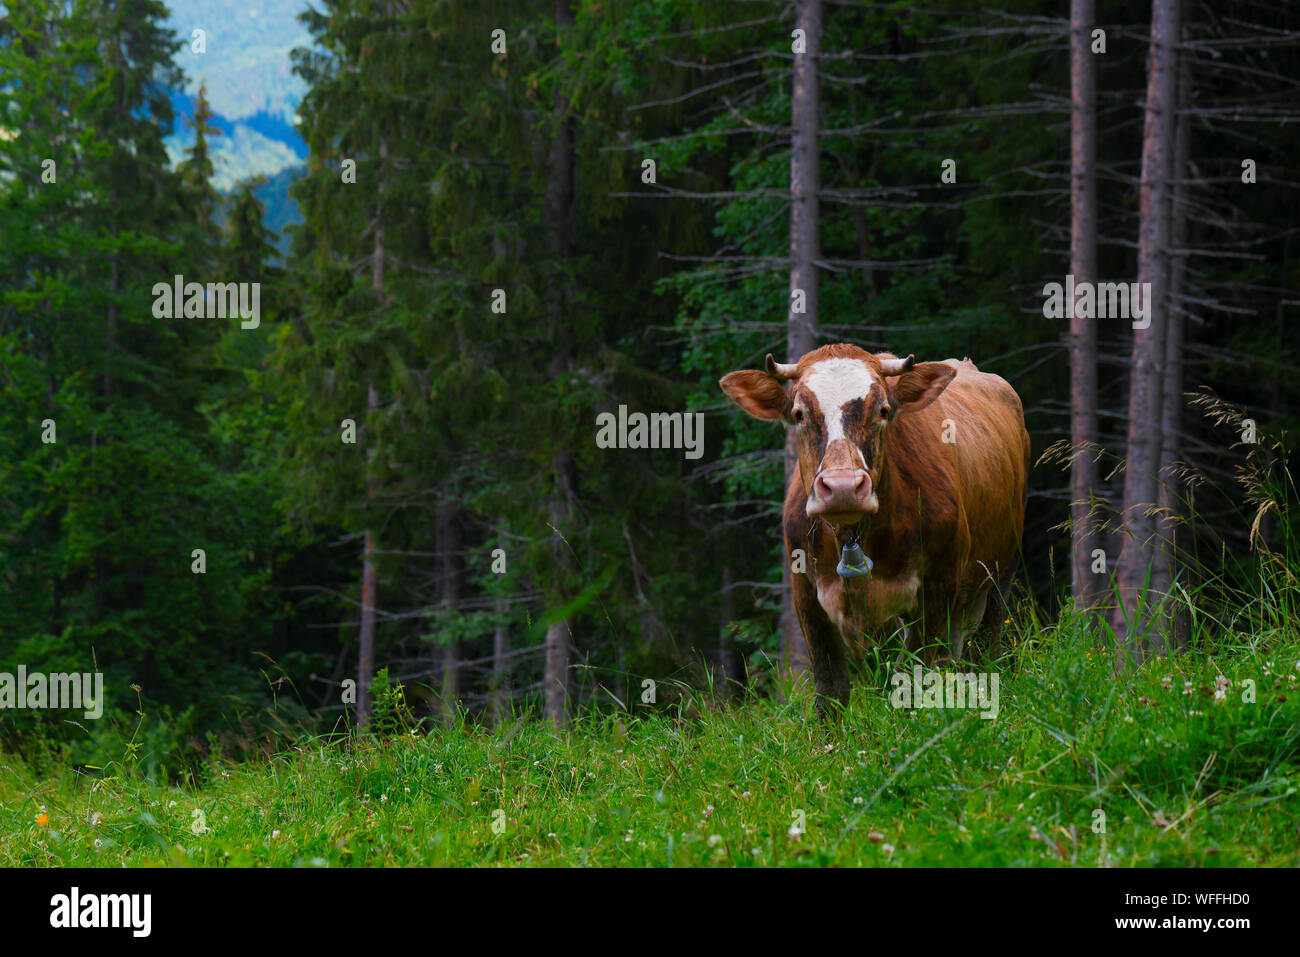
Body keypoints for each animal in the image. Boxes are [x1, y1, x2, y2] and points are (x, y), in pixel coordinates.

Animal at [719, 344, 1029, 719]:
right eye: (798, 414)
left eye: (882, 411)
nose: (842, 487)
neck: (852, 537)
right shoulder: (806, 596)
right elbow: (831, 690)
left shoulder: (938, 588)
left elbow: (912, 681)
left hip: (1000, 572)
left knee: (983, 648)